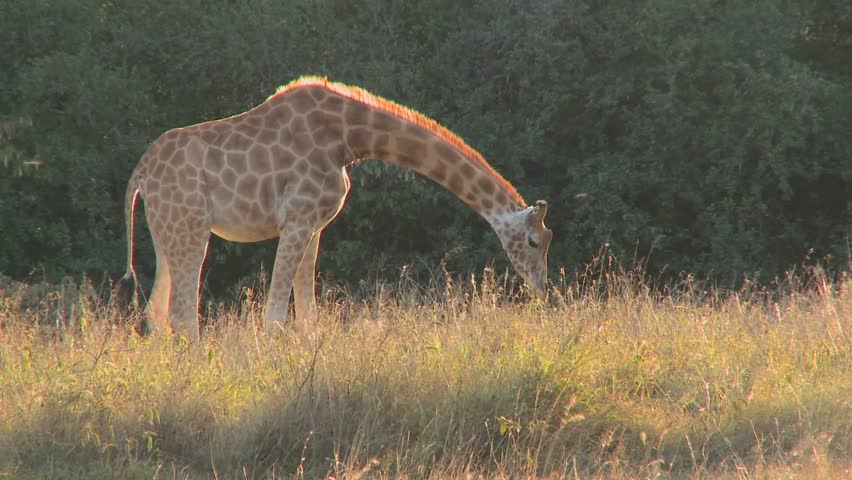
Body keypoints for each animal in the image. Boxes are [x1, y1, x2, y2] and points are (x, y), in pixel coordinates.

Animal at [116, 77, 552, 339]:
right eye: (534, 241)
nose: (543, 289)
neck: (349, 137)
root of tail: (140, 174)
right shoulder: (297, 219)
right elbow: (276, 314)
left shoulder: (314, 226)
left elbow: (308, 314)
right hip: (190, 227)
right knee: (181, 313)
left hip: (167, 231)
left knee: (155, 312)